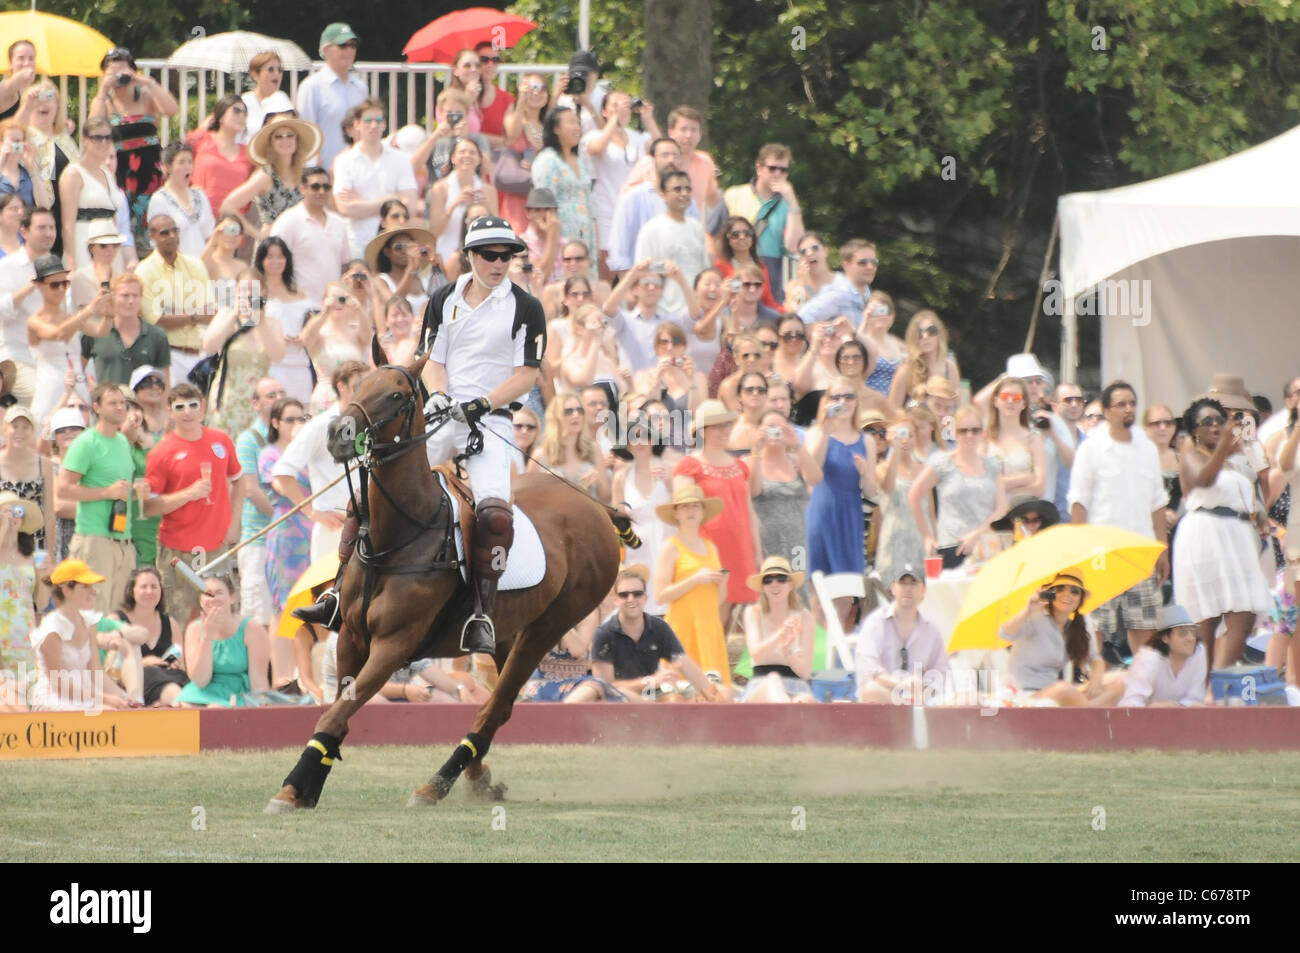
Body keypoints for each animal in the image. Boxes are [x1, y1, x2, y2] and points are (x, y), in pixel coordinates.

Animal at [266, 348, 631, 811]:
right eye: (359, 385)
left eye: (397, 395)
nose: (337, 435)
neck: (399, 536)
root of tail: (598, 508)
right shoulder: (350, 636)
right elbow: (337, 708)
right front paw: (304, 787)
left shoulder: (394, 643)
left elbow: (336, 712)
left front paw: (293, 786)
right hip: (509, 631)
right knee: (500, 701)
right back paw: (476, 776)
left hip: (550, 625)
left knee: (496, 706)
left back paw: (435, 785)